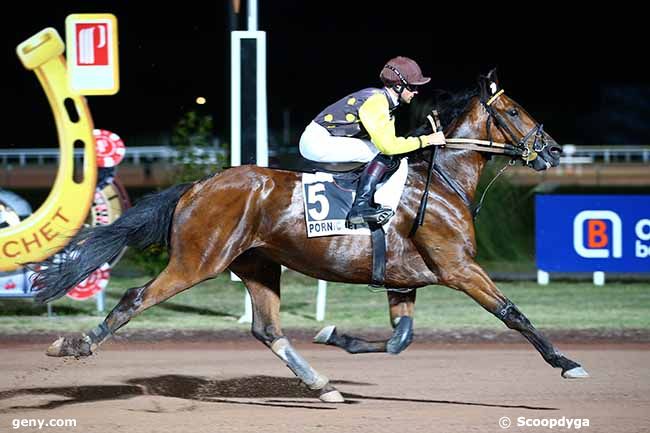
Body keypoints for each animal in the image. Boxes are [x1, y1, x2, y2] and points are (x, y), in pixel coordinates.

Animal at [30, 69, 588, 404]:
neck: (443, 183)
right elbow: (513, 313)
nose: (553, 150)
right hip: (197, 261)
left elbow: (399, 340)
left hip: (257, 265)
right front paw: (566, 363)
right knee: (134, 297)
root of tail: (199, 184)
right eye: (512, 111)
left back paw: (321, 384)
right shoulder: (459, 268)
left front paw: (335, 336)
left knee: (268, 330)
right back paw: (75, 345)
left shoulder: (404, 280)